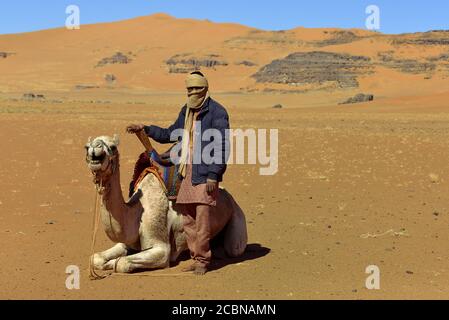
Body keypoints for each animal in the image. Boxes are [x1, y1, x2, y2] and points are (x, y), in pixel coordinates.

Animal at [84, 134, 245, 272]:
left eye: (112, 147)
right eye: (86, 147)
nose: (94, 148)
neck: (136, 213)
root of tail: (229, 196)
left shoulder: (161, 249)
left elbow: (122, 263)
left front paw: (111, 264)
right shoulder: (126, 241)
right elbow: (95, 258)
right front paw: (105, 263)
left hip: (236, 216)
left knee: (234, 249)